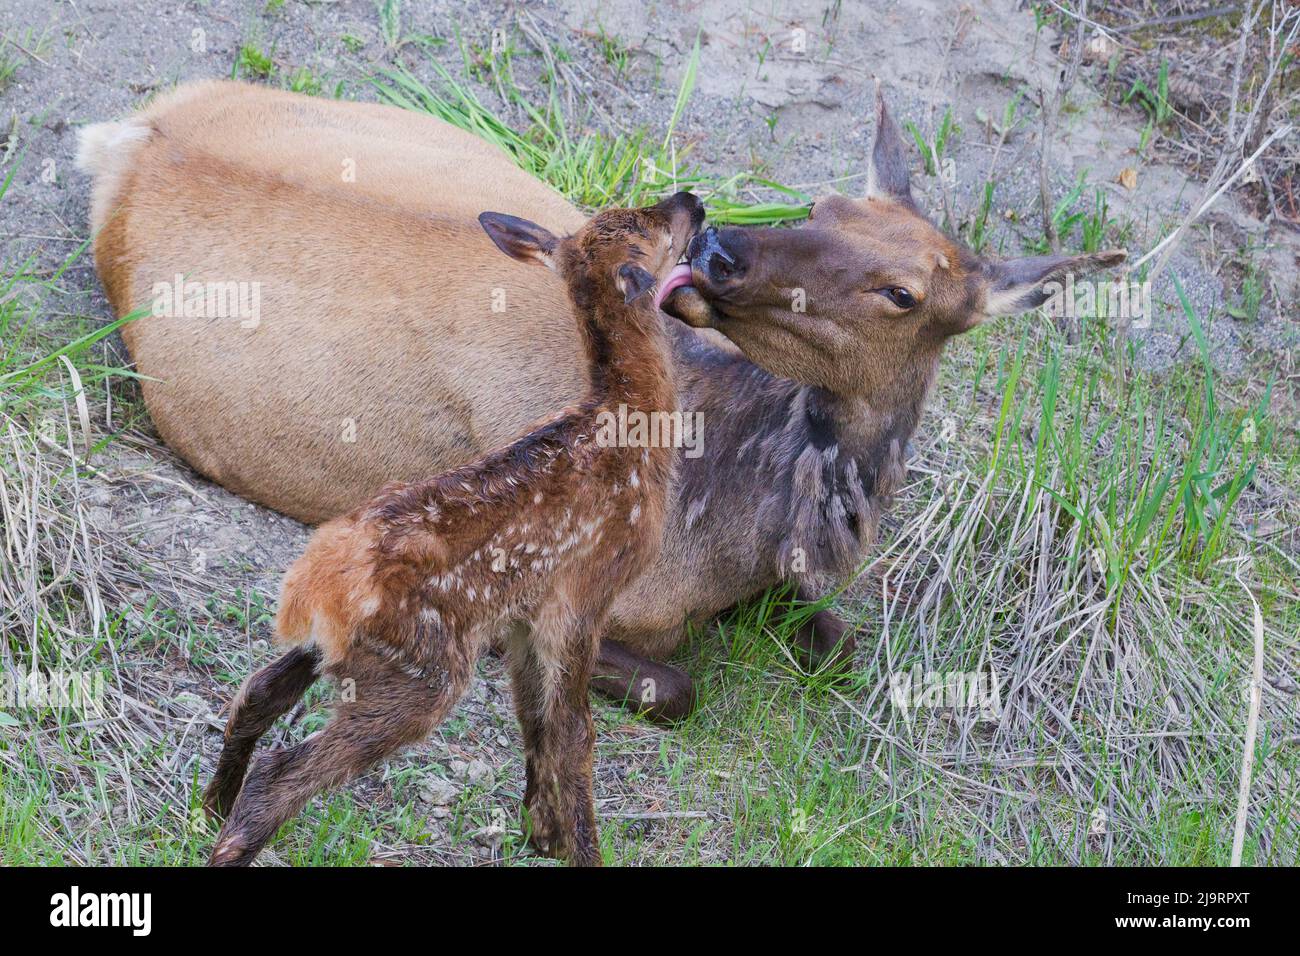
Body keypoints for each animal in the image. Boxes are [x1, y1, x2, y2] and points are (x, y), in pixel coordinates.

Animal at [76, 82, 1123, 723]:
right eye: (822, 204)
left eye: (903, 291)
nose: (720, 248)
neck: (733, 526)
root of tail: (130, 135)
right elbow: (678, 685)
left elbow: (837, 640)